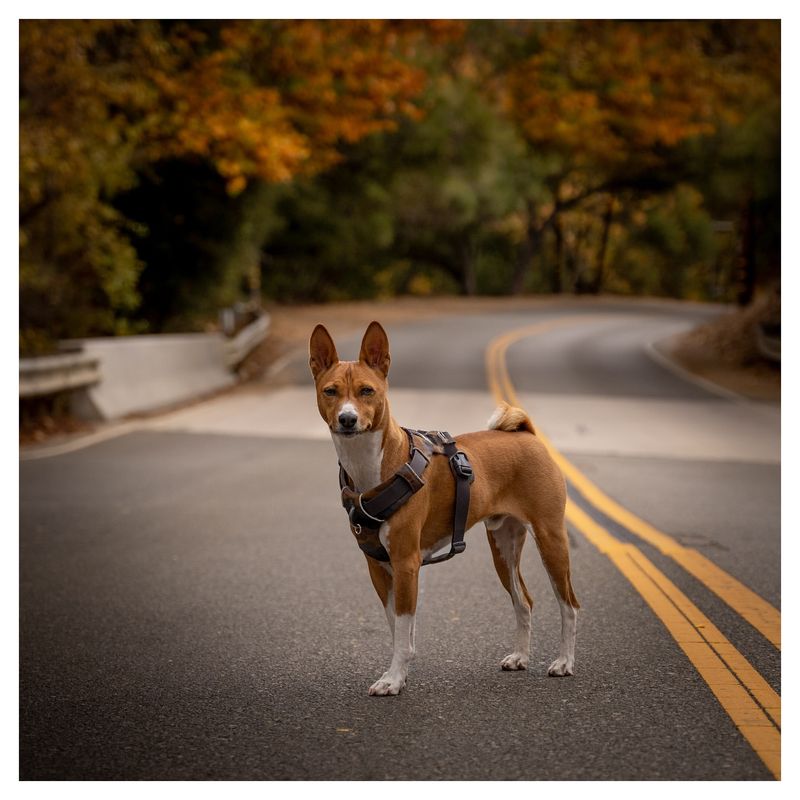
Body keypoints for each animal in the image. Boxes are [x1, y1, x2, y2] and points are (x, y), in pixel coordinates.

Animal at [310, 322, 580, 696]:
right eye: (330, 391)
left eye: (367, 391)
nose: (347, 419)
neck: (371, 467)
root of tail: (526, 434)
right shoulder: (378, 566)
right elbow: (397, 629)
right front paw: (399, 673)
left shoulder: (406, 563)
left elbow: (402, 631)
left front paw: (393, 680)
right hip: (503, 548)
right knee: (524, 601)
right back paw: (520, 658)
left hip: (551, 541)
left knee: (569, 605)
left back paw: (564, 662)